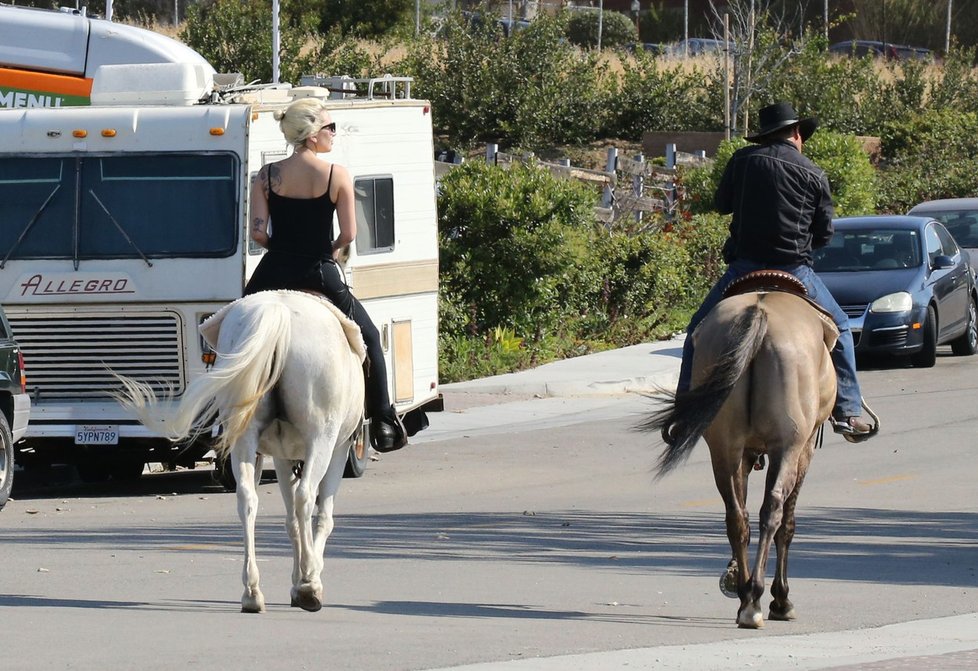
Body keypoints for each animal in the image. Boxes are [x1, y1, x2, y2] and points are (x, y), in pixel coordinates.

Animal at [118, 290, 366, 616]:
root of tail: (278, 312)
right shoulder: (338, 448)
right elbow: (321, 517)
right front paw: (306, 579)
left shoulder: (283, 456)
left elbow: (291, 522)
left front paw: (295, 582)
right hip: (321, 437)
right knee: (305, 497)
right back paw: (310, 585)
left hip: (244, 438)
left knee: (248, 498)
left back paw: (252, 592)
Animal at [644, 290, 836, 632]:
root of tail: (758, 312)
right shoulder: (805, 447)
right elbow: (788, 523)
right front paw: (781, 599)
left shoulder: (744, 453)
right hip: (787, 445)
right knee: (772, 511)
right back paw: (758, 599)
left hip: (723, 447)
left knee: (736, 517)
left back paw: (746, 597)